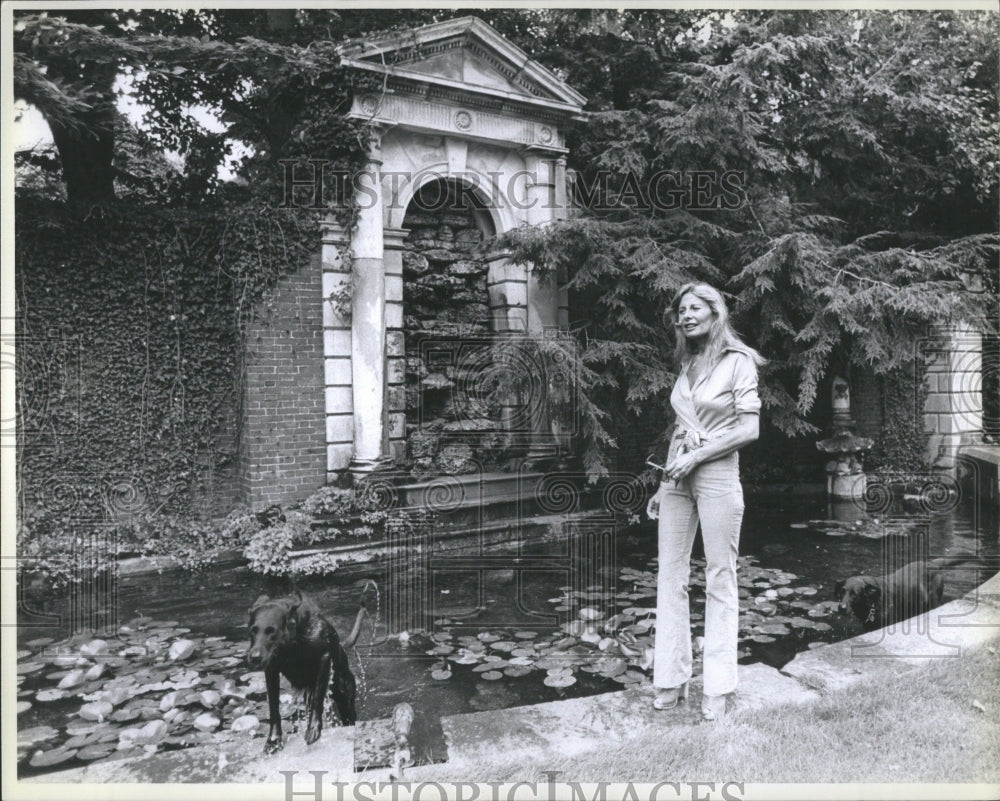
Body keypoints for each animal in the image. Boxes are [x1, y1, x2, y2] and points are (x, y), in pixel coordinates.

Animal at [246, 584, 372, 752]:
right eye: (253, 631)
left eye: (271, 631)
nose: (254, 657)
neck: (292, 643)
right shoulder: (271, 669)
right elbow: (273, 708)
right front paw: (273, 740)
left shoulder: (324, 659)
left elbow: (318, 700)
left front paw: (313, 729)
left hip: (345, 699)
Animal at [836, 552, 968, 628]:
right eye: (842, 591)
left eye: (855, 594)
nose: (841, 607)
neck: (873, 602)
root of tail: (931, 563)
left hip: (934, 601)